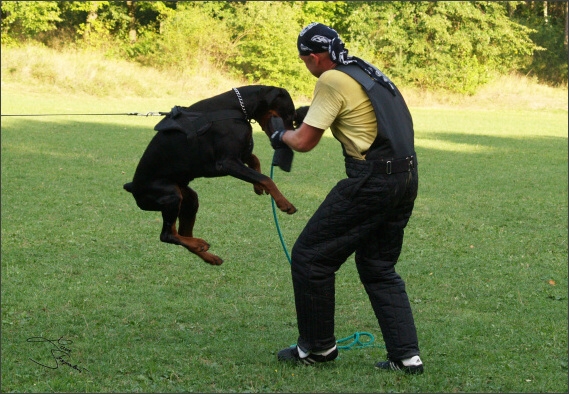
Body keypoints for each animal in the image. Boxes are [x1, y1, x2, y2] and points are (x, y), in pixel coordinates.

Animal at [123, 86, 298, 264]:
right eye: (290, 115)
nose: (294, 140)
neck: (238, 106)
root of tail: (132, 187)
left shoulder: (238, 154)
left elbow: (255, 161)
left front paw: (258, 187)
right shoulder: (226, 162)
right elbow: (266, 178)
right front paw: (284, 203)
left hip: (188, 199)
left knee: (182, 233)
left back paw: (208, 255)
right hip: (171, 194)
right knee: (167, 235)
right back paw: (199, 244)